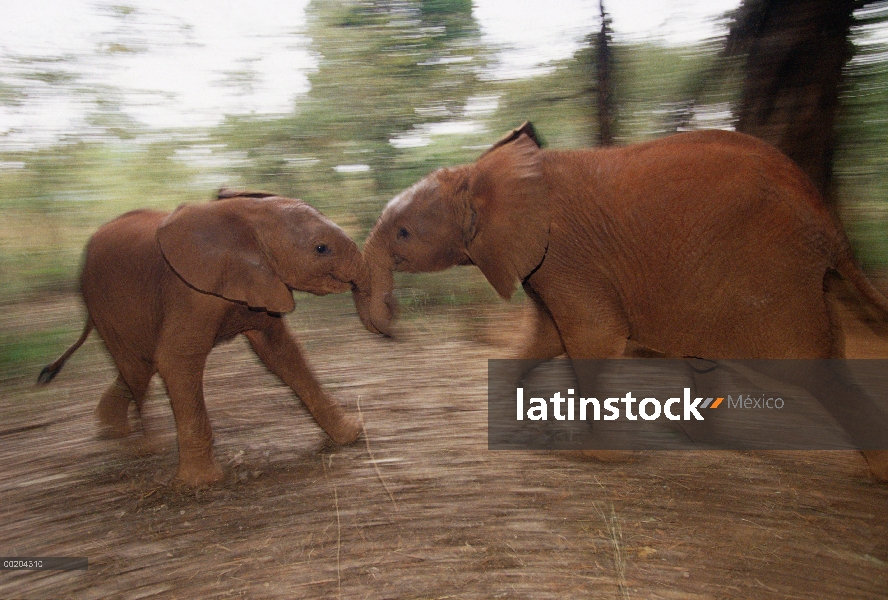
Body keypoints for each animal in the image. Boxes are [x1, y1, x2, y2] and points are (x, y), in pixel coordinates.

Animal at [40, 191, 366, 488]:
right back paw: (146, 446)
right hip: (102, 303)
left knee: (141, 365)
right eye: (321, 249)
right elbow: (177, 359)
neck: (249, 214)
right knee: (137, 368)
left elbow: (280, 351)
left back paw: (110, 430)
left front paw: (351, 435)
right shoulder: (189, 290)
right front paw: (202, 482)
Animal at [354, 124, 888, 480]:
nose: (393, 323)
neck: (484, 172)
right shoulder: (547, 263)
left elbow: (589, 339)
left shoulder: (565, 255)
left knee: (810, 367)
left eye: (403, 233)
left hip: (771, 274)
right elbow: (548, 337)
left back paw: (878, 470)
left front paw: (595, 457)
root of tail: (828, 219)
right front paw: (516, 420)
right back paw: (695, 438)